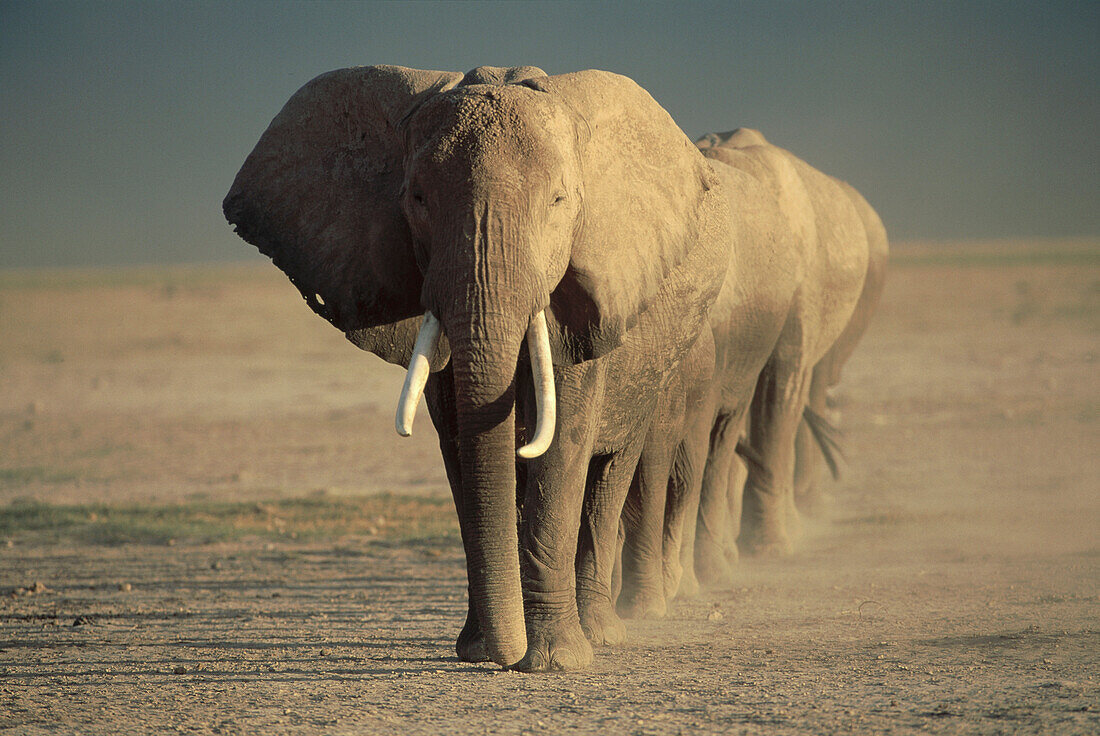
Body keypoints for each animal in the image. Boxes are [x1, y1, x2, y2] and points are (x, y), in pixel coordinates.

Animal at [224, 66, 739, 668]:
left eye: (559, 200)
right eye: (417, 198)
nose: (503, 654)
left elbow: (563, 442)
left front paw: (553, 661)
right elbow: (458, 442)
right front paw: (479, 651)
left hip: (662, 358)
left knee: (611, 474)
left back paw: (601, 634)